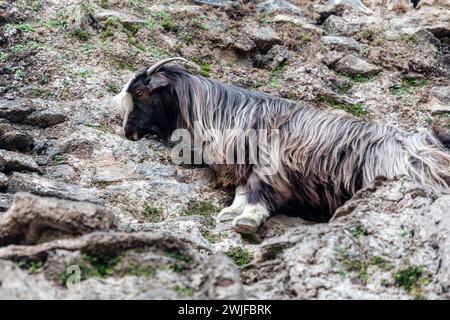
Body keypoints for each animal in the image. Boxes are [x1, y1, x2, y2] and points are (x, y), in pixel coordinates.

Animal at [113, 57, 450, 234]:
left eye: (140, 93)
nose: (128, 132)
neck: (227, 112)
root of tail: (422, 143)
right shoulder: (245, 165)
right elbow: (242, 191)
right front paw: (230, 214)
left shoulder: (268, 167)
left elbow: (257, 193)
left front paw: (246, 221)